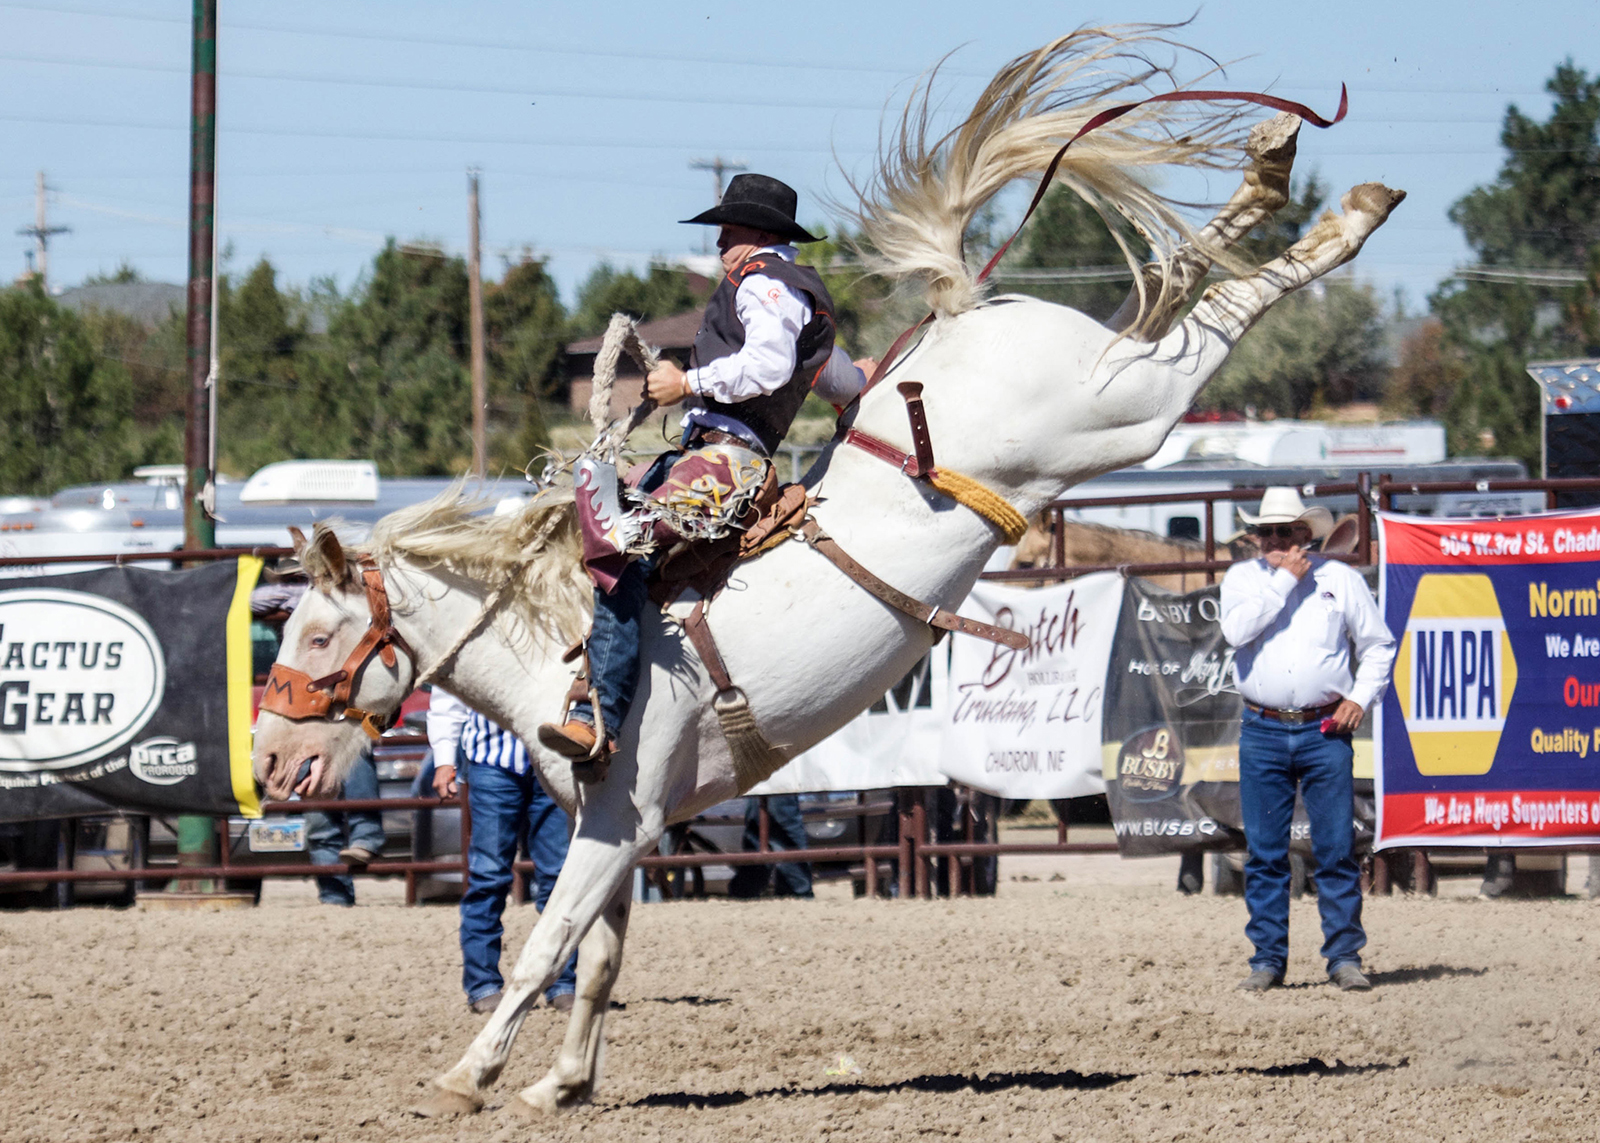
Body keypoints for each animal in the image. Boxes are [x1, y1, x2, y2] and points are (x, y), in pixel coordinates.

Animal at [246, 24, 1401, 1114]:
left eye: (316, 631)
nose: (269, 765)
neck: (560, 644)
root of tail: (963, 313)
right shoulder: (622, 827)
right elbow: (598, 958)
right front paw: (561, 1083)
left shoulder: (616, 816)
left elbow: (545, 948)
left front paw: (468, 1076)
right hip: (1102, 388)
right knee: (1173, 289)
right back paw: (1279, 173)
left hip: (1115, 414)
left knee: (1208, 324)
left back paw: (1339, 211)